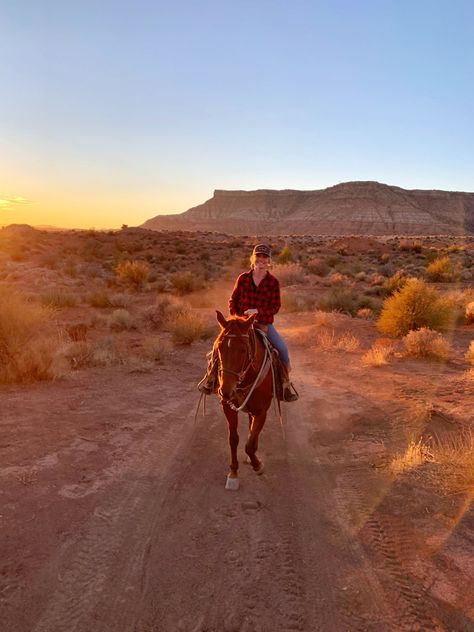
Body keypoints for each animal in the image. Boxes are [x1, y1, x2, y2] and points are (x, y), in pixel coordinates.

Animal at [215, 310, 274, 488]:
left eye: (243, 350)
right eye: (219, 347)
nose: (225, 391)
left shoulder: (261, 412)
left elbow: (249, 444)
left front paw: (258, 465)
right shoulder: (228, 408)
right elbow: (233, 439)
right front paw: (233, 473)